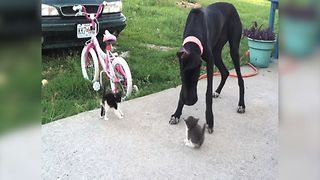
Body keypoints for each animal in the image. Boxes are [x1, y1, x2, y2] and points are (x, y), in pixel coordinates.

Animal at [169, 1, 246, 134]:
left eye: (196, 79)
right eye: (182, 78)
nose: (189, 102)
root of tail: (231, 5)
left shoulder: (209, 61)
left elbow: (207, 93)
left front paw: (210, 120)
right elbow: (182, 90)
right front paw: (176, 114)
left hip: (233, 49)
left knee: (240, 79)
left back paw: (241, 105)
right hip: (216, 52)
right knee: (225, 72)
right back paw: (217, 91)